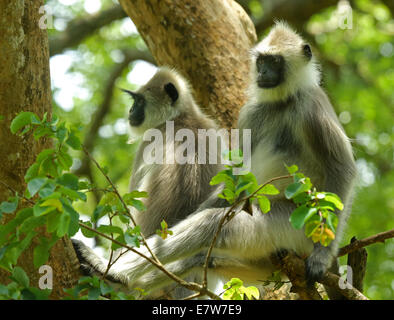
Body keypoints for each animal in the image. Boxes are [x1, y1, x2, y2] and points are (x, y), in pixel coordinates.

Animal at [73, 23, 358, 298]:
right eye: (261, 62)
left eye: (275, 61)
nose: (263, 73)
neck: (282, 103)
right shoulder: (251, 113)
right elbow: (238, 179)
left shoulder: (312, 103)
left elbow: (342, 168)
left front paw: (321, 257)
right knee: (201, 255)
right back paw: (122, 283)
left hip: (295, 227)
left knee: (211, 225)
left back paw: (114, 272)